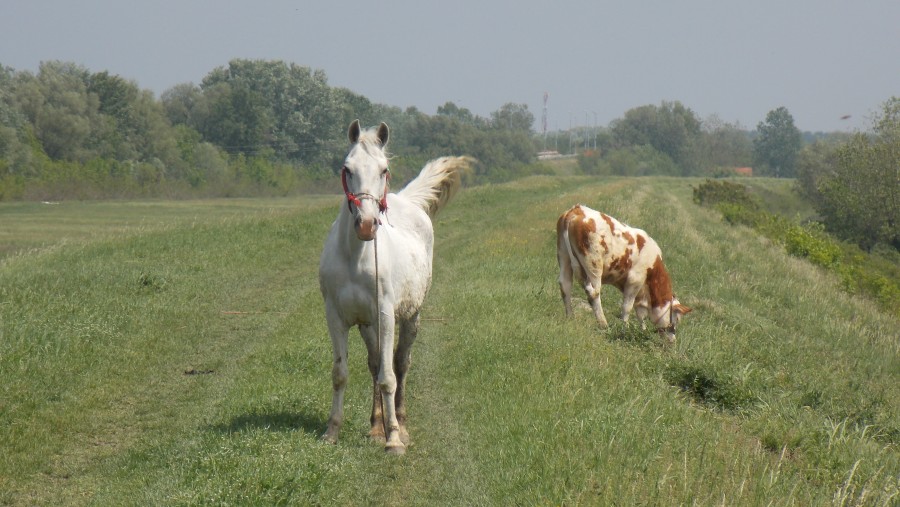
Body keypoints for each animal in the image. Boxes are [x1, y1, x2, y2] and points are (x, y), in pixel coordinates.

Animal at [318, 120, 472, 456]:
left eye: (384, 169)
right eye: (347, 168)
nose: (366, 225)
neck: (354, 257)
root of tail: (409, 202)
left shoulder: (387, 315)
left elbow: (389, 377)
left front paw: (394, 440)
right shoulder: (336, 318)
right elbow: (341, 374)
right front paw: (332, 432)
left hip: (411, 316)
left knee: (400, 362)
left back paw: (400, 422)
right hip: (369, 325)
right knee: (376, 363)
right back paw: (377, 426)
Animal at [556, 204, 696, 344]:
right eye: (677, 319)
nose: (673, 341)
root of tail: (577, 209)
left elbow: (640, 313)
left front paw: (642, 331)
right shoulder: (635, 280)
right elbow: (627, 307)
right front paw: (625, 329)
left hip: (563, 255)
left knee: (565, 286)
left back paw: (570, 317)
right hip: (593, 263)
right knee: (593, 293)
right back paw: (603, 324)